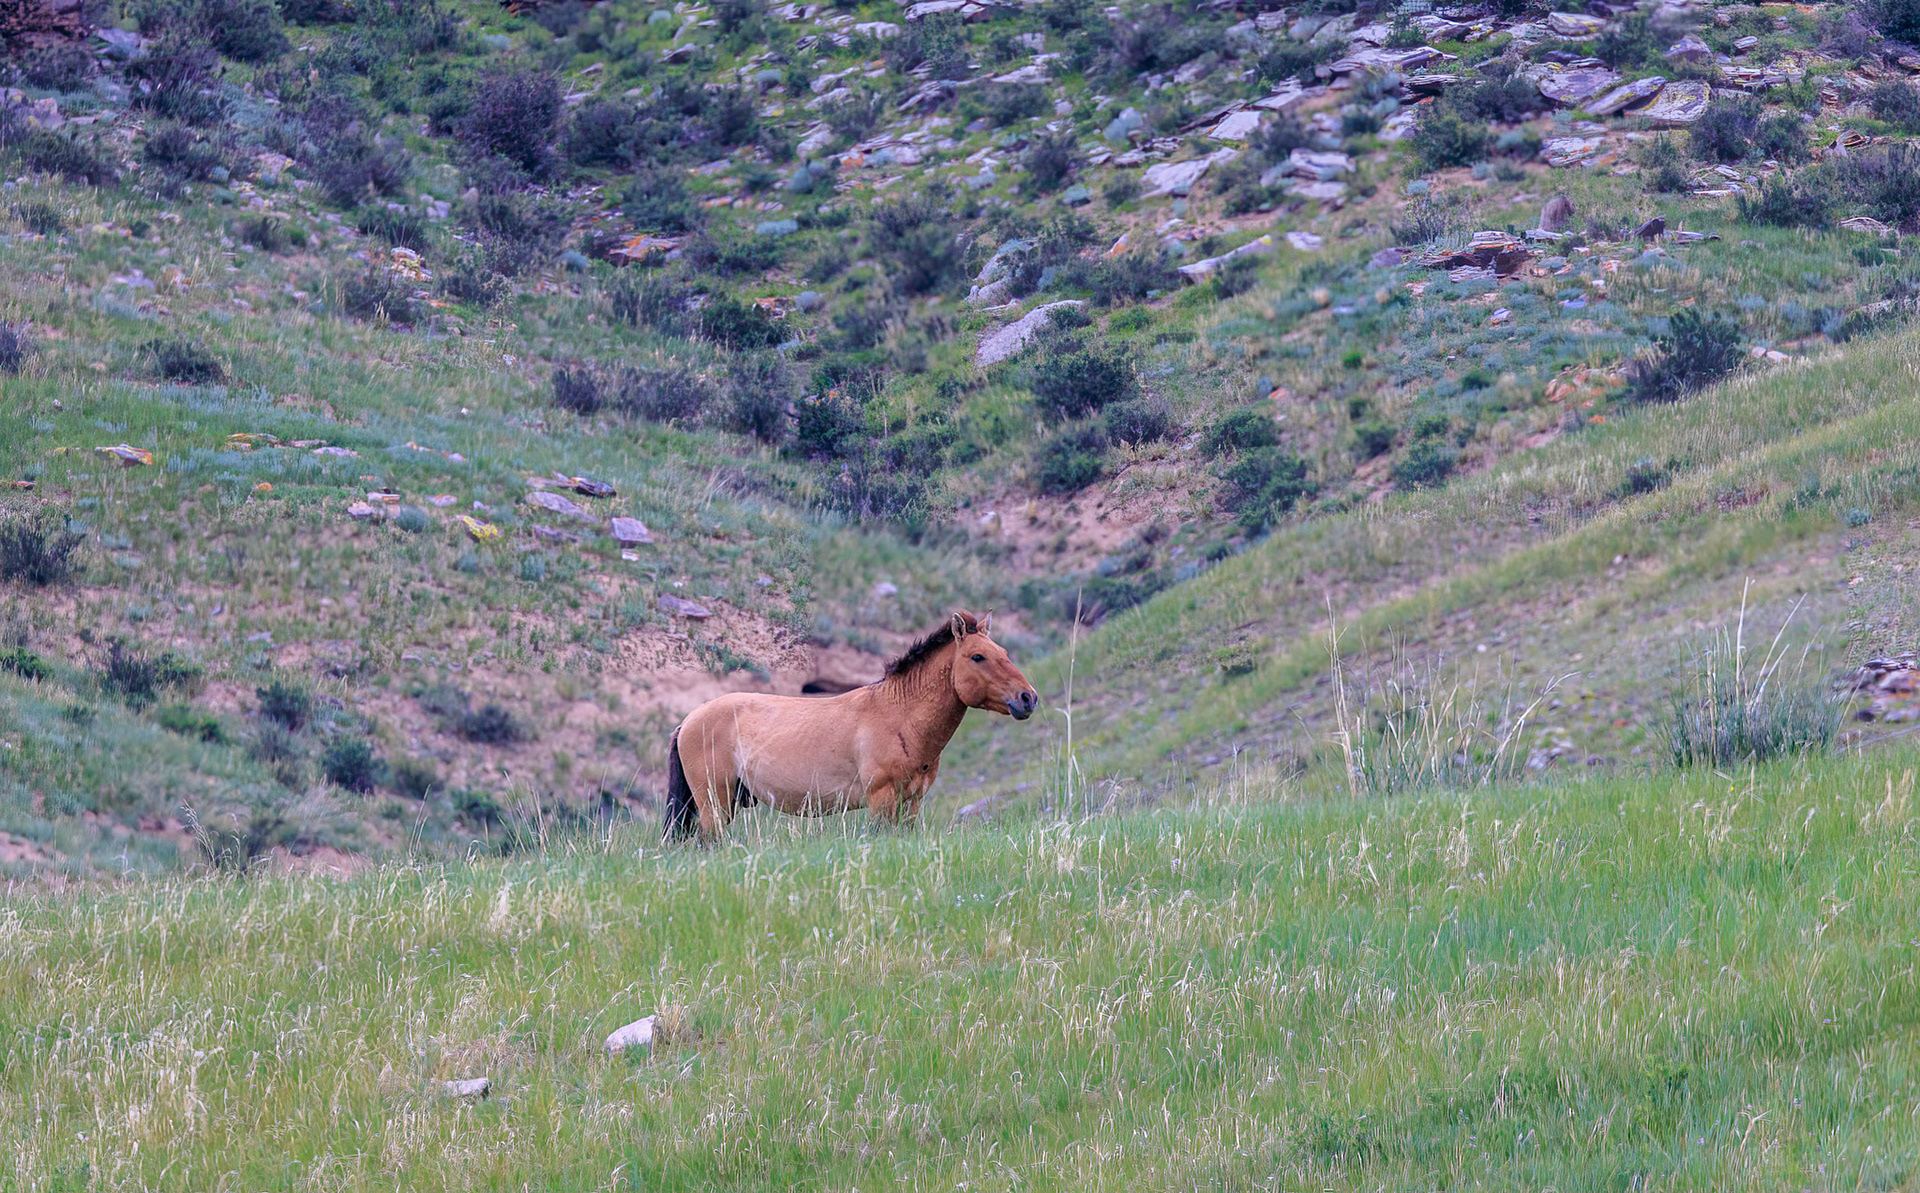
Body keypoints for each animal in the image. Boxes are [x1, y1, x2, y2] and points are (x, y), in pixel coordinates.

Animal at [663, 610, 1038, 841]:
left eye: (1004, 652)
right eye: (978, 657)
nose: (1028, 698)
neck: (899, 715)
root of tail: (687, 722)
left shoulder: (912, 803)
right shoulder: (881, 801)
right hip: (714, 805)